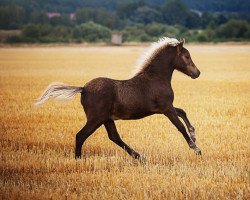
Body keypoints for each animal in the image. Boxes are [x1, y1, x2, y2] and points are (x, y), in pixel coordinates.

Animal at [36, 37, 201, 162]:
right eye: (186, 56)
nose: (197, 73)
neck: (155, 78)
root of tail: (83, 88)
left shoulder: (164, 108)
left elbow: (182, 112)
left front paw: (194, 135)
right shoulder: (166, 108)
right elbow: (179, 126)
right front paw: (195, 148)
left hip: (107, 119)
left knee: (114, 137)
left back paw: (140, 157)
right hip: (96, 118)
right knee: (81, 135)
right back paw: (78, 159)